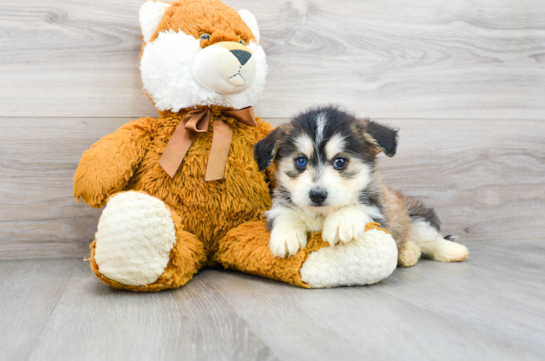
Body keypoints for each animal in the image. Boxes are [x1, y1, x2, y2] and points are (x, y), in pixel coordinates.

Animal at [253, 105, 466, 266]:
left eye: (340, 162)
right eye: (300, 161)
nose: (317, 195)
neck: (322, 215)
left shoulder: (378, 211)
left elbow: (359, 205)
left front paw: (341, 222)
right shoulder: (278, 207)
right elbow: (285, 214)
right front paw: (286, 235)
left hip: (417, 218)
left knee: (430, 240)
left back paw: (452, 251)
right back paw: (407, 253)